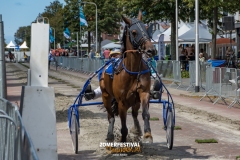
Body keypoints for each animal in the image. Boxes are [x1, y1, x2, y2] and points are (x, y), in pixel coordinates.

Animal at [99, 10, 156, 142]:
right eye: (134, 32)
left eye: (146, 28)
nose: (151, 50)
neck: (132, 71)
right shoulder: (121, 102)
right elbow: (123, 124)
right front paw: (123, 139)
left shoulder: (143, 93)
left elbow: (145, 113)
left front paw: (147, 134)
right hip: (106, 96)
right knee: (111, 116)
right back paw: (110, 134)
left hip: (134, 101)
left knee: (134, 114)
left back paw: (137, 129)